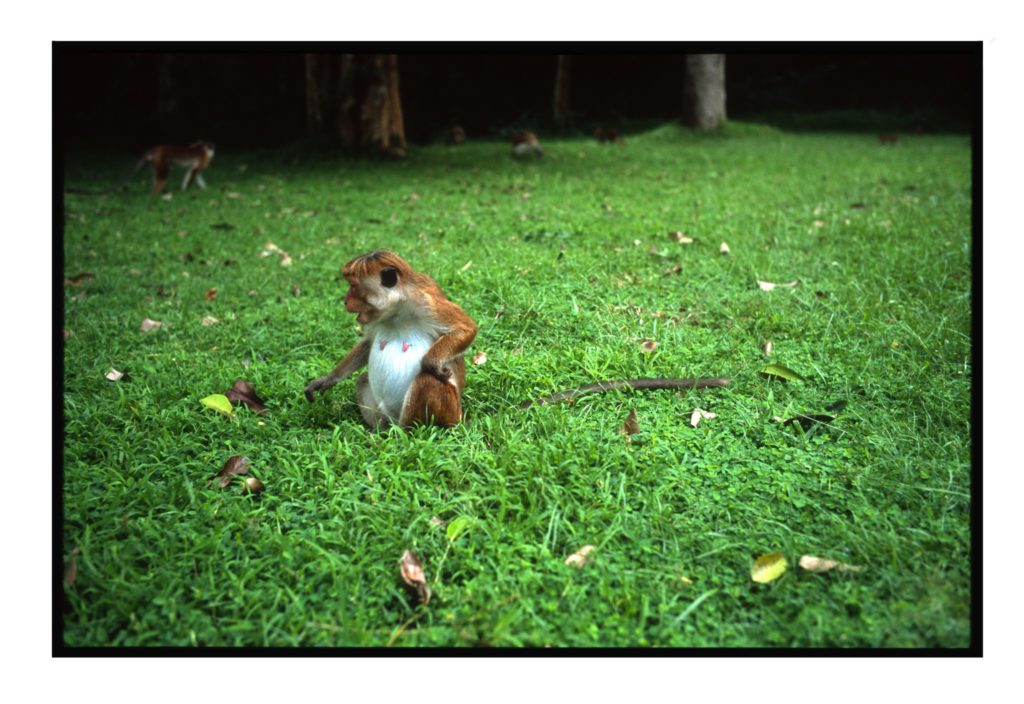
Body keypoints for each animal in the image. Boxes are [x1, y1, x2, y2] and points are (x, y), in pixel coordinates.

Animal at [304, 251, 478, 428]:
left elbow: (466, 328)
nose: (345, 301)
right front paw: (329, 379)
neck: (396, 311)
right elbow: (368, 342)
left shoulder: (428, 303)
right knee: (362, 380)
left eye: (353, 286)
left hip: (450, 411)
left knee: (428, 380)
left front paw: (431, 362)